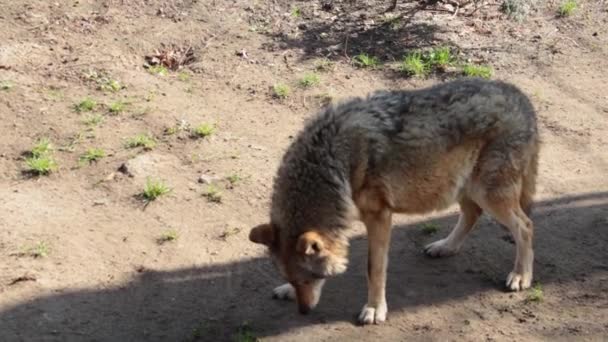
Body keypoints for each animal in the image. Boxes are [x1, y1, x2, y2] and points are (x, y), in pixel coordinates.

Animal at [249, 78, 540, 326]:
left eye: (310, 278)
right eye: (295, 279)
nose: (304, 311)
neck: (333, 161)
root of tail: (521, 97)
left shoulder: (379, 216)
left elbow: (374, 269)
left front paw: (374, 309)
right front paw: (286, 291)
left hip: (488, 194)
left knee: (525, 226)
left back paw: (521, 276)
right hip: (463, 189)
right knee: (472, 214)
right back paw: (445, 247)